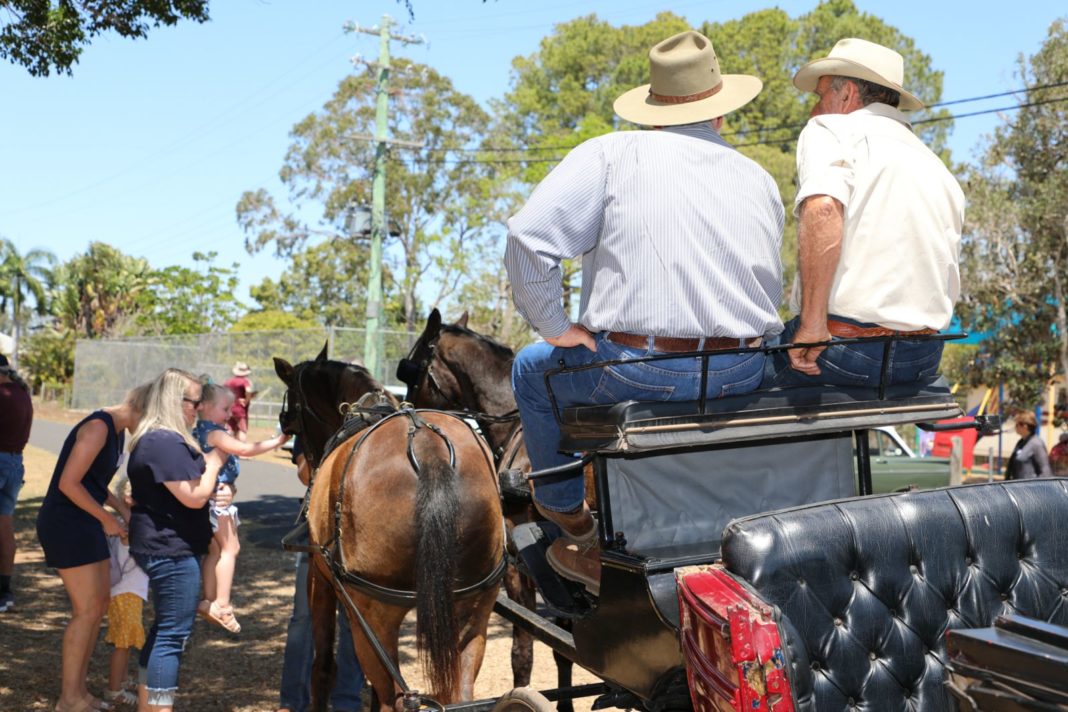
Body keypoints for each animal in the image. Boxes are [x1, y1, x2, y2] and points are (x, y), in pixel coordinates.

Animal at [277, 347, 506, 708]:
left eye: (294, 412)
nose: (302, 462)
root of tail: (428, 448)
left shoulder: (321, 579)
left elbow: (323, 665)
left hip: (376, 614)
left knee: (394, 699)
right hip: (474, 606)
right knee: (461, 693)